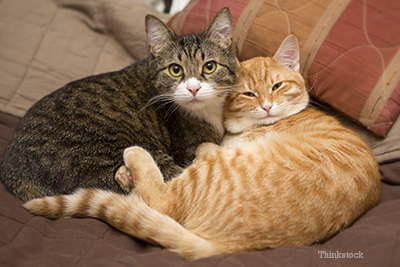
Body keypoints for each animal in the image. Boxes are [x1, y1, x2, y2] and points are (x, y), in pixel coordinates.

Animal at [23, 35, 380, 262]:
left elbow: (207, 147)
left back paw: (132, 160)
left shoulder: (225, 150)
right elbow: (208, 143)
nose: (267, 107)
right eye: (249, 94)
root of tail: (232, 246)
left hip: (210, 174)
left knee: (162, 201)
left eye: (278, 86)